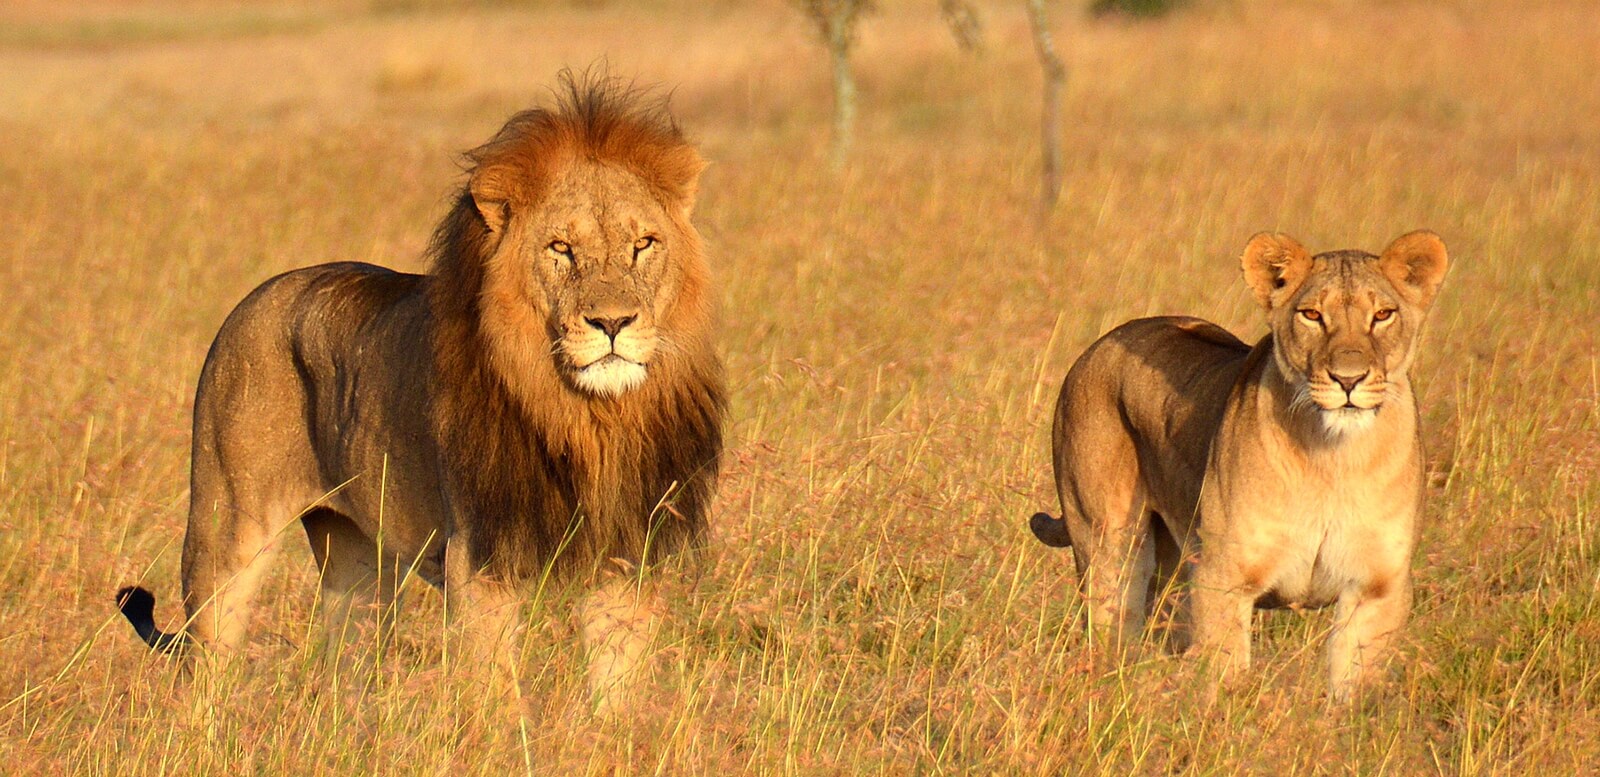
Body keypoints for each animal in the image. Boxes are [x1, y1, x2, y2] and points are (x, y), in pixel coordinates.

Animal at [116, 74, 729, 709]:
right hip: (225, 529)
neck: (587, 417)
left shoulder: (628, 553)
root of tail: (257, 296)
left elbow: (618, 686)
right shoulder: (478, 557)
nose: (613, 323)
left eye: (644, 244)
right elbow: (493, 691)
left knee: (349, 661)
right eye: (560, 248)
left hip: (358, 564)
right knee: (203, 656)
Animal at [1036, 228, 1452, 697]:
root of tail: (1101, 343)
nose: (1349, 379)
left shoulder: (1376, 589)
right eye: (1312, 315)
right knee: (1112, 627)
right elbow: (1223, 676)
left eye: (1382, 315)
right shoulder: (1223, 578)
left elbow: (1352, 688)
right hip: (1108, 543)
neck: (1334, 459)